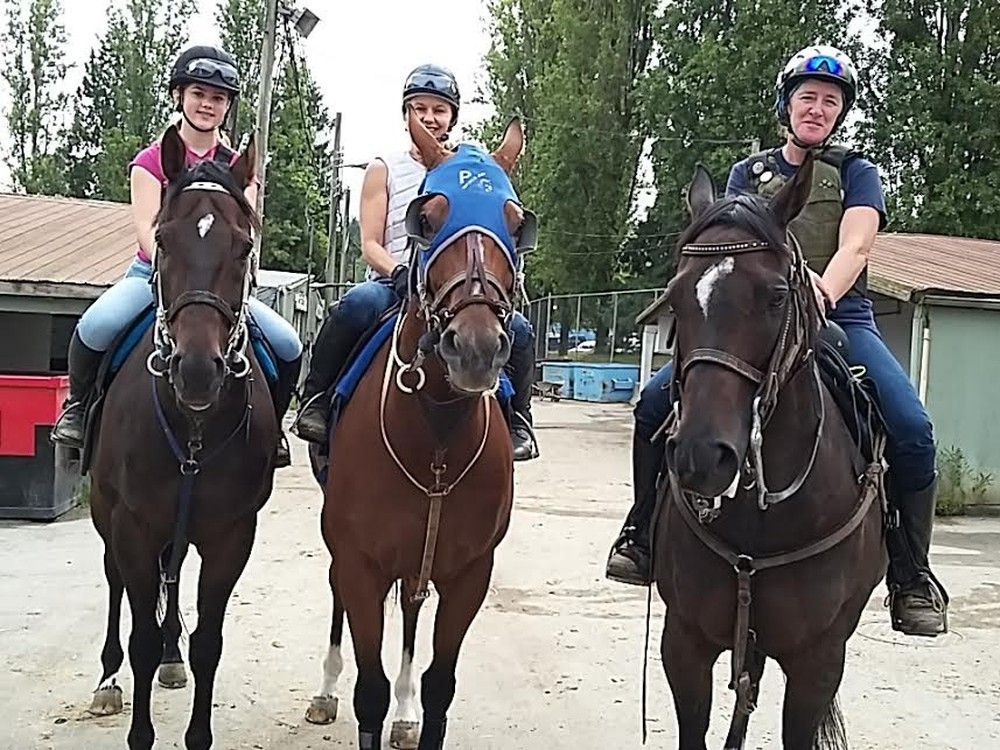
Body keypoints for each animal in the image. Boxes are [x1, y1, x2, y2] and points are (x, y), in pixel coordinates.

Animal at [86, 124, 280, 750]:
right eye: (164, 241)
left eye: (243, 248)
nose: (197, 371)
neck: (192, 422)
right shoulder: (133, 526)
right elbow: (141, 638)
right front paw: (139, 731)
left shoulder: (230, 535)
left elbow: (208, 644)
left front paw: (197, 731)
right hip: (108, 518)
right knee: (116, 583)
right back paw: (106, 679)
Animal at [303, 111, 533, 749]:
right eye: (426, 220)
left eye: (517, 225)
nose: (475, 347)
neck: (435, 432)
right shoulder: (361, 561)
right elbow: (369, 688)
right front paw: (349, 693)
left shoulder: (469, 572)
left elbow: (438, 686)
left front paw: (413, 709)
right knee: (336, 596)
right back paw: (324, 691)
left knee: (409, 612)